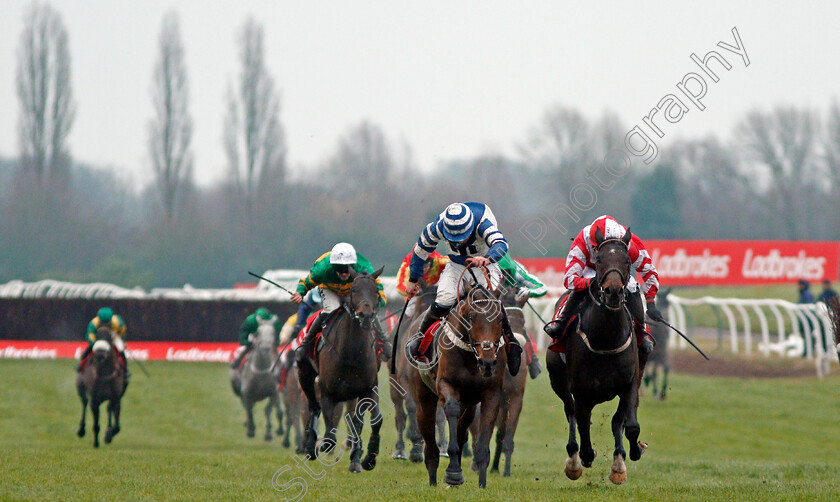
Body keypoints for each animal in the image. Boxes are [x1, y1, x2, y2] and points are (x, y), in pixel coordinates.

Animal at [298, 268, 388, 472]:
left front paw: (366, 458)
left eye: (376, 291)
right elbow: (330, 433)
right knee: (313, 406)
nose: (365, 315)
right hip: (305, 374)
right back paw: (310, 446)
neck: (352, 353)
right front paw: (322, 445)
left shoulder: (368, 389)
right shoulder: (327, 391)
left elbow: (372, 421)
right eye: (354, 290)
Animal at [408, 278, 506, 486]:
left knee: (462, 428)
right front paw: (453, 472)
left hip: (469, 404)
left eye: (500, 319)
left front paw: (482, 483)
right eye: (471, 317)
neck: (470, 357)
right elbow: (451, 410)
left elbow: (484, 431)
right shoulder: (446, 385)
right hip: (424, 398)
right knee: (429, 440)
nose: (487, 362)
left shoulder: (491, 393)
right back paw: (433, 478)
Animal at [548, 228, 648, 486]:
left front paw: (629, 455)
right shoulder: (580, 388)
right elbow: (582, 422)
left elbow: (630, 425)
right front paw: (585, 455)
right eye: (600, 259)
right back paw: (575, 458)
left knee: (614, 421)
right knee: (572, 412)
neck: (606, 338)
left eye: (626, 261)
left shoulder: (630, 383)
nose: (613, 291)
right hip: (559, 382)